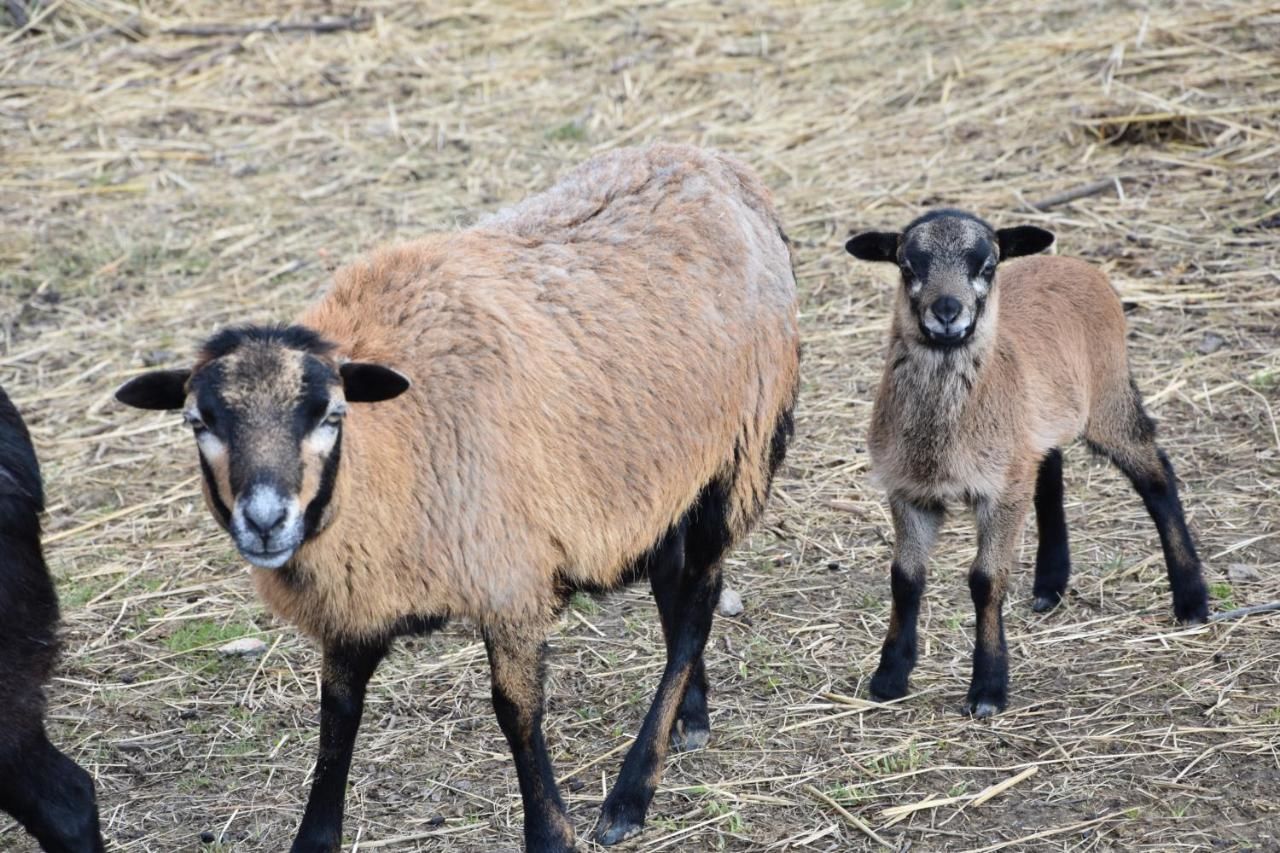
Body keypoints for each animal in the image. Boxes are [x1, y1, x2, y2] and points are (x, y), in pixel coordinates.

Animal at [120, 144, 798, 850]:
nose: (265, 521)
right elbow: (337, 719)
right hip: (662, 476)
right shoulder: (355, 600)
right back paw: (690, 716)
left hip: (737, 453)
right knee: (675, 586)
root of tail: (717, 164)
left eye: (331, 414)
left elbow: (516, 711)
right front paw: (316, 836)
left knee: (696, 608)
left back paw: (631, 793)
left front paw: (551, 831)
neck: (390, 447)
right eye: (200, 422)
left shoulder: (508, 578)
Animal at [849, 208, 1208, 712]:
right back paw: (1049, 585)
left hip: (1108, 396)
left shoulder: (1000, 494)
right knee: (1051, 473)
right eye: (906, 266)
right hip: (1036, 428)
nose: (947, 311)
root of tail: (1073, 263)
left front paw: (988, 688)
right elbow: (904, 578)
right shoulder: (909, 490)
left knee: (1156, 477)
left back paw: (1192, 600)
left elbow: (985, 580)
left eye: (987, 265)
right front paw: (889, 677)